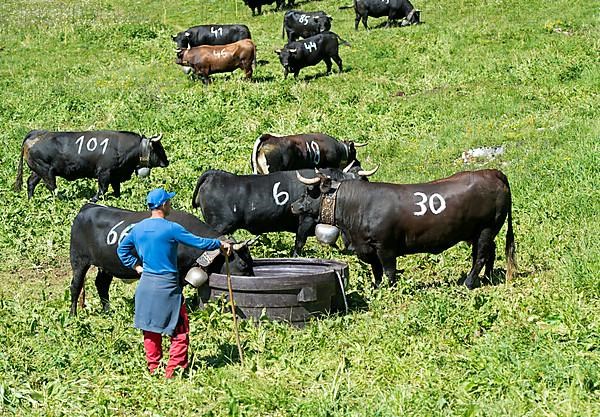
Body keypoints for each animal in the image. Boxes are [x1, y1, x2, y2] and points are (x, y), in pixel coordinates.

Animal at [14, 130, 169, 202]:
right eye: (158, 147)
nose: (167, 162)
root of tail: (37, 133)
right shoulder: (104, 173)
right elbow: (102, 189)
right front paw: (93, 200)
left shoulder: (115, 175)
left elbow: (116, 189)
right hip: (46, 172)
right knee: (52, 187)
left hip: (38, 171)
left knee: (31, 183)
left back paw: (30, 200)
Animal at [68, 202, 255, 316]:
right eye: (242, 263)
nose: (251, 278)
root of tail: (88, 208)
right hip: (78, 260)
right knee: (76, 286)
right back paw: (73, 315)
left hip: (106, 265)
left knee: (101, 285)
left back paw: (108, 310)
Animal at [292, 169, 516, 290]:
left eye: (309, 191)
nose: (294, 205)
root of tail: (492, 172)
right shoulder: (369, 248)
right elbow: (377, 271)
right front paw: (377, 289)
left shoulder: (386, 246)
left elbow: (389, 271)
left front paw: (390, 290)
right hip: (480, 232)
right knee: (490, 252)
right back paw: (486, 278)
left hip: (486, 229)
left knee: (480, 256)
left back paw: (469, 282)